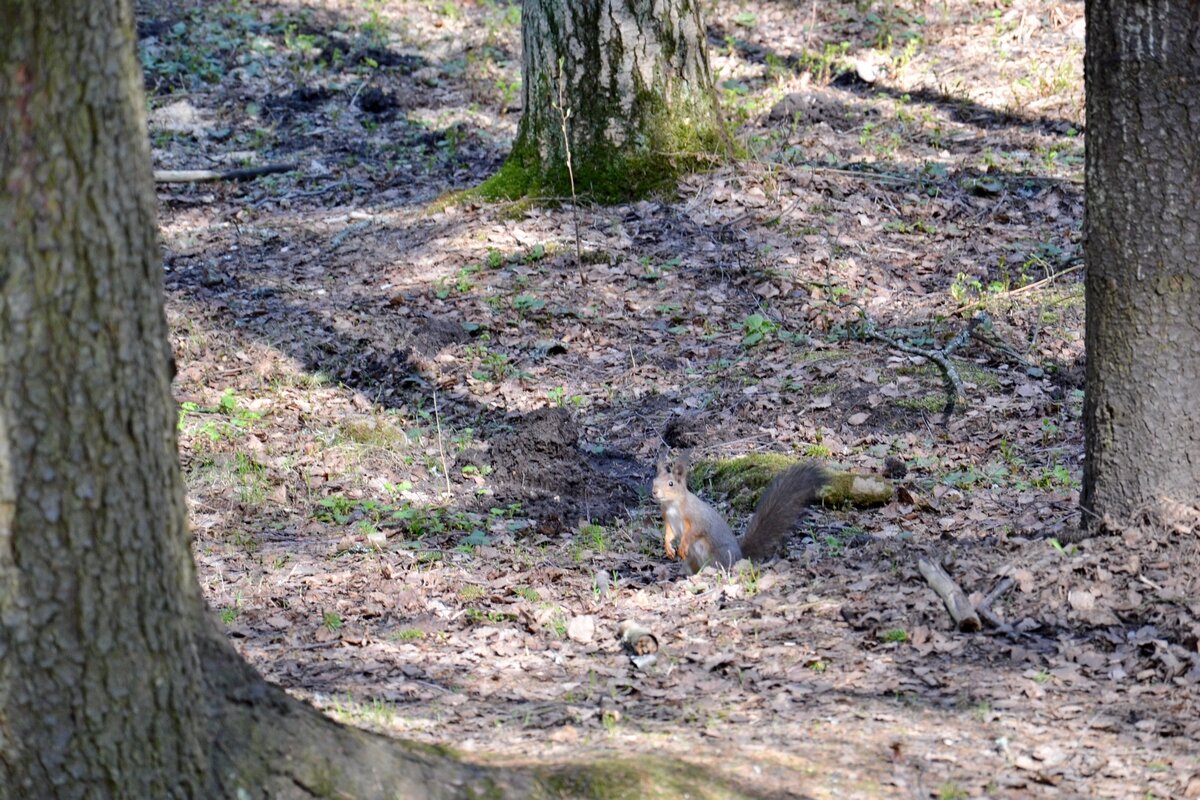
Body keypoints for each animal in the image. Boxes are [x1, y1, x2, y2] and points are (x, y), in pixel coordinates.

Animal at [652, 450, 830, 575]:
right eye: (654, 481)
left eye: (671, 484)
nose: (654, 492)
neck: (672, 505)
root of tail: (740, 556)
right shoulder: (669, 520)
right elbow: (669, 534)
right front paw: (668, 548)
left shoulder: (696, 517)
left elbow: (694, 532)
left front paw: (682, 546)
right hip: (692, 562)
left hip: (719, 555)